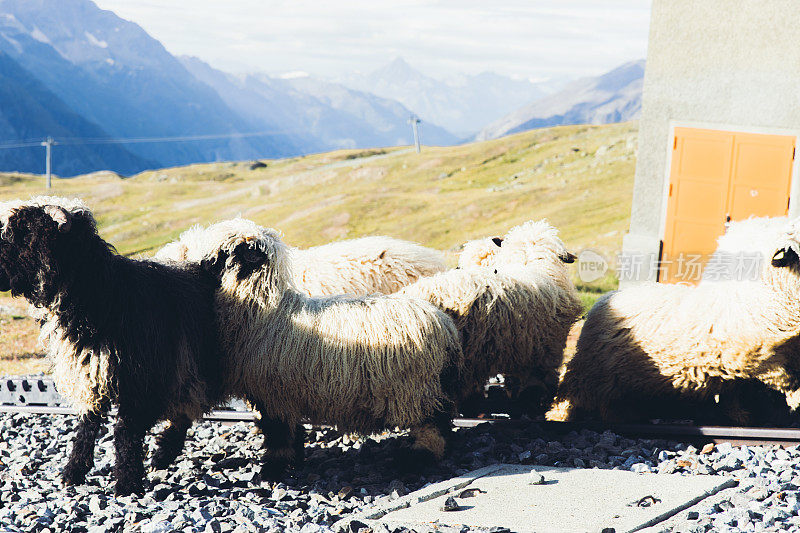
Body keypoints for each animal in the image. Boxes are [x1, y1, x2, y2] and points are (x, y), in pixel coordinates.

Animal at [0, 196, 222, 494]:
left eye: (25, 234)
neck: (106, 296)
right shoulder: (91, 374)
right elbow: (87, 425)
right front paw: (73, 472)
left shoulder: (138, 379)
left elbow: (125, 430)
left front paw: (127, 481)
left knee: (186, 408)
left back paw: (163, 454)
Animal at [192, 218, 462, 476]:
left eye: (226, 253)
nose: (201, 265)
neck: (265, 311)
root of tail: (444, 325)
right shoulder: (284, 393)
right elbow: (291, 432)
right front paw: (293, 461)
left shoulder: (271, 394)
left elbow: (278, 435)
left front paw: (272, 469)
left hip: (414, 388)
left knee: (432, 424)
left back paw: (417, 458)